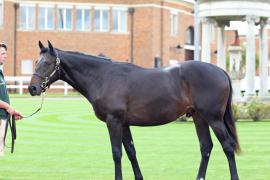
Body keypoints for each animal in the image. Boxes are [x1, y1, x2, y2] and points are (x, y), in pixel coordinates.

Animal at [28, 41, 239, 180]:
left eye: (47, 63)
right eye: (36, 62)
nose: (32, 88)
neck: (102, 76)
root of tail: (221, 71)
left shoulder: (114, 121)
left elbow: (117, 153)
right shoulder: (124, 123)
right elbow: (131, 151)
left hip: (213, 118)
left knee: (227, 146)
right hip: (199, 117)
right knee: (206, 147)